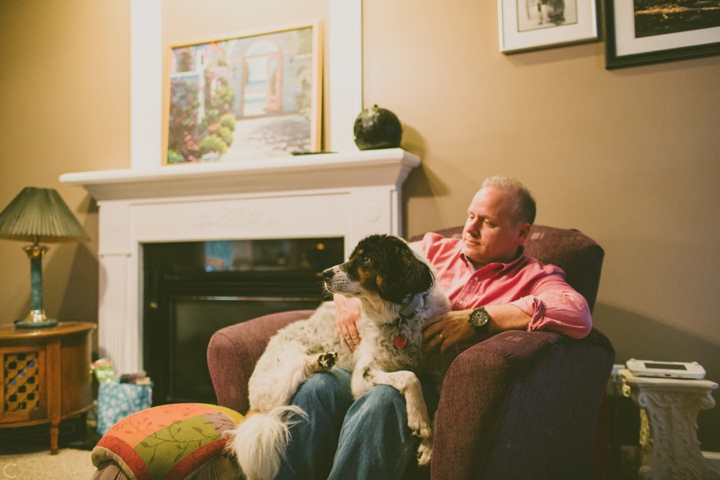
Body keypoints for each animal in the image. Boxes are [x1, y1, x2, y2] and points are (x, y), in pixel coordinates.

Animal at [229, 235, 456, 480]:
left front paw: (430, 444)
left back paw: (322, 360)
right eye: (353, 256)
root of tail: (255, 405)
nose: (325, 273)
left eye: (365, 258)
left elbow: (440, 406)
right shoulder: (363, 374)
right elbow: (409, 376)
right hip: (284, 378)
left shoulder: (442, 370)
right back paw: (318, 362)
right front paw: (419, 419)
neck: (401, 319)